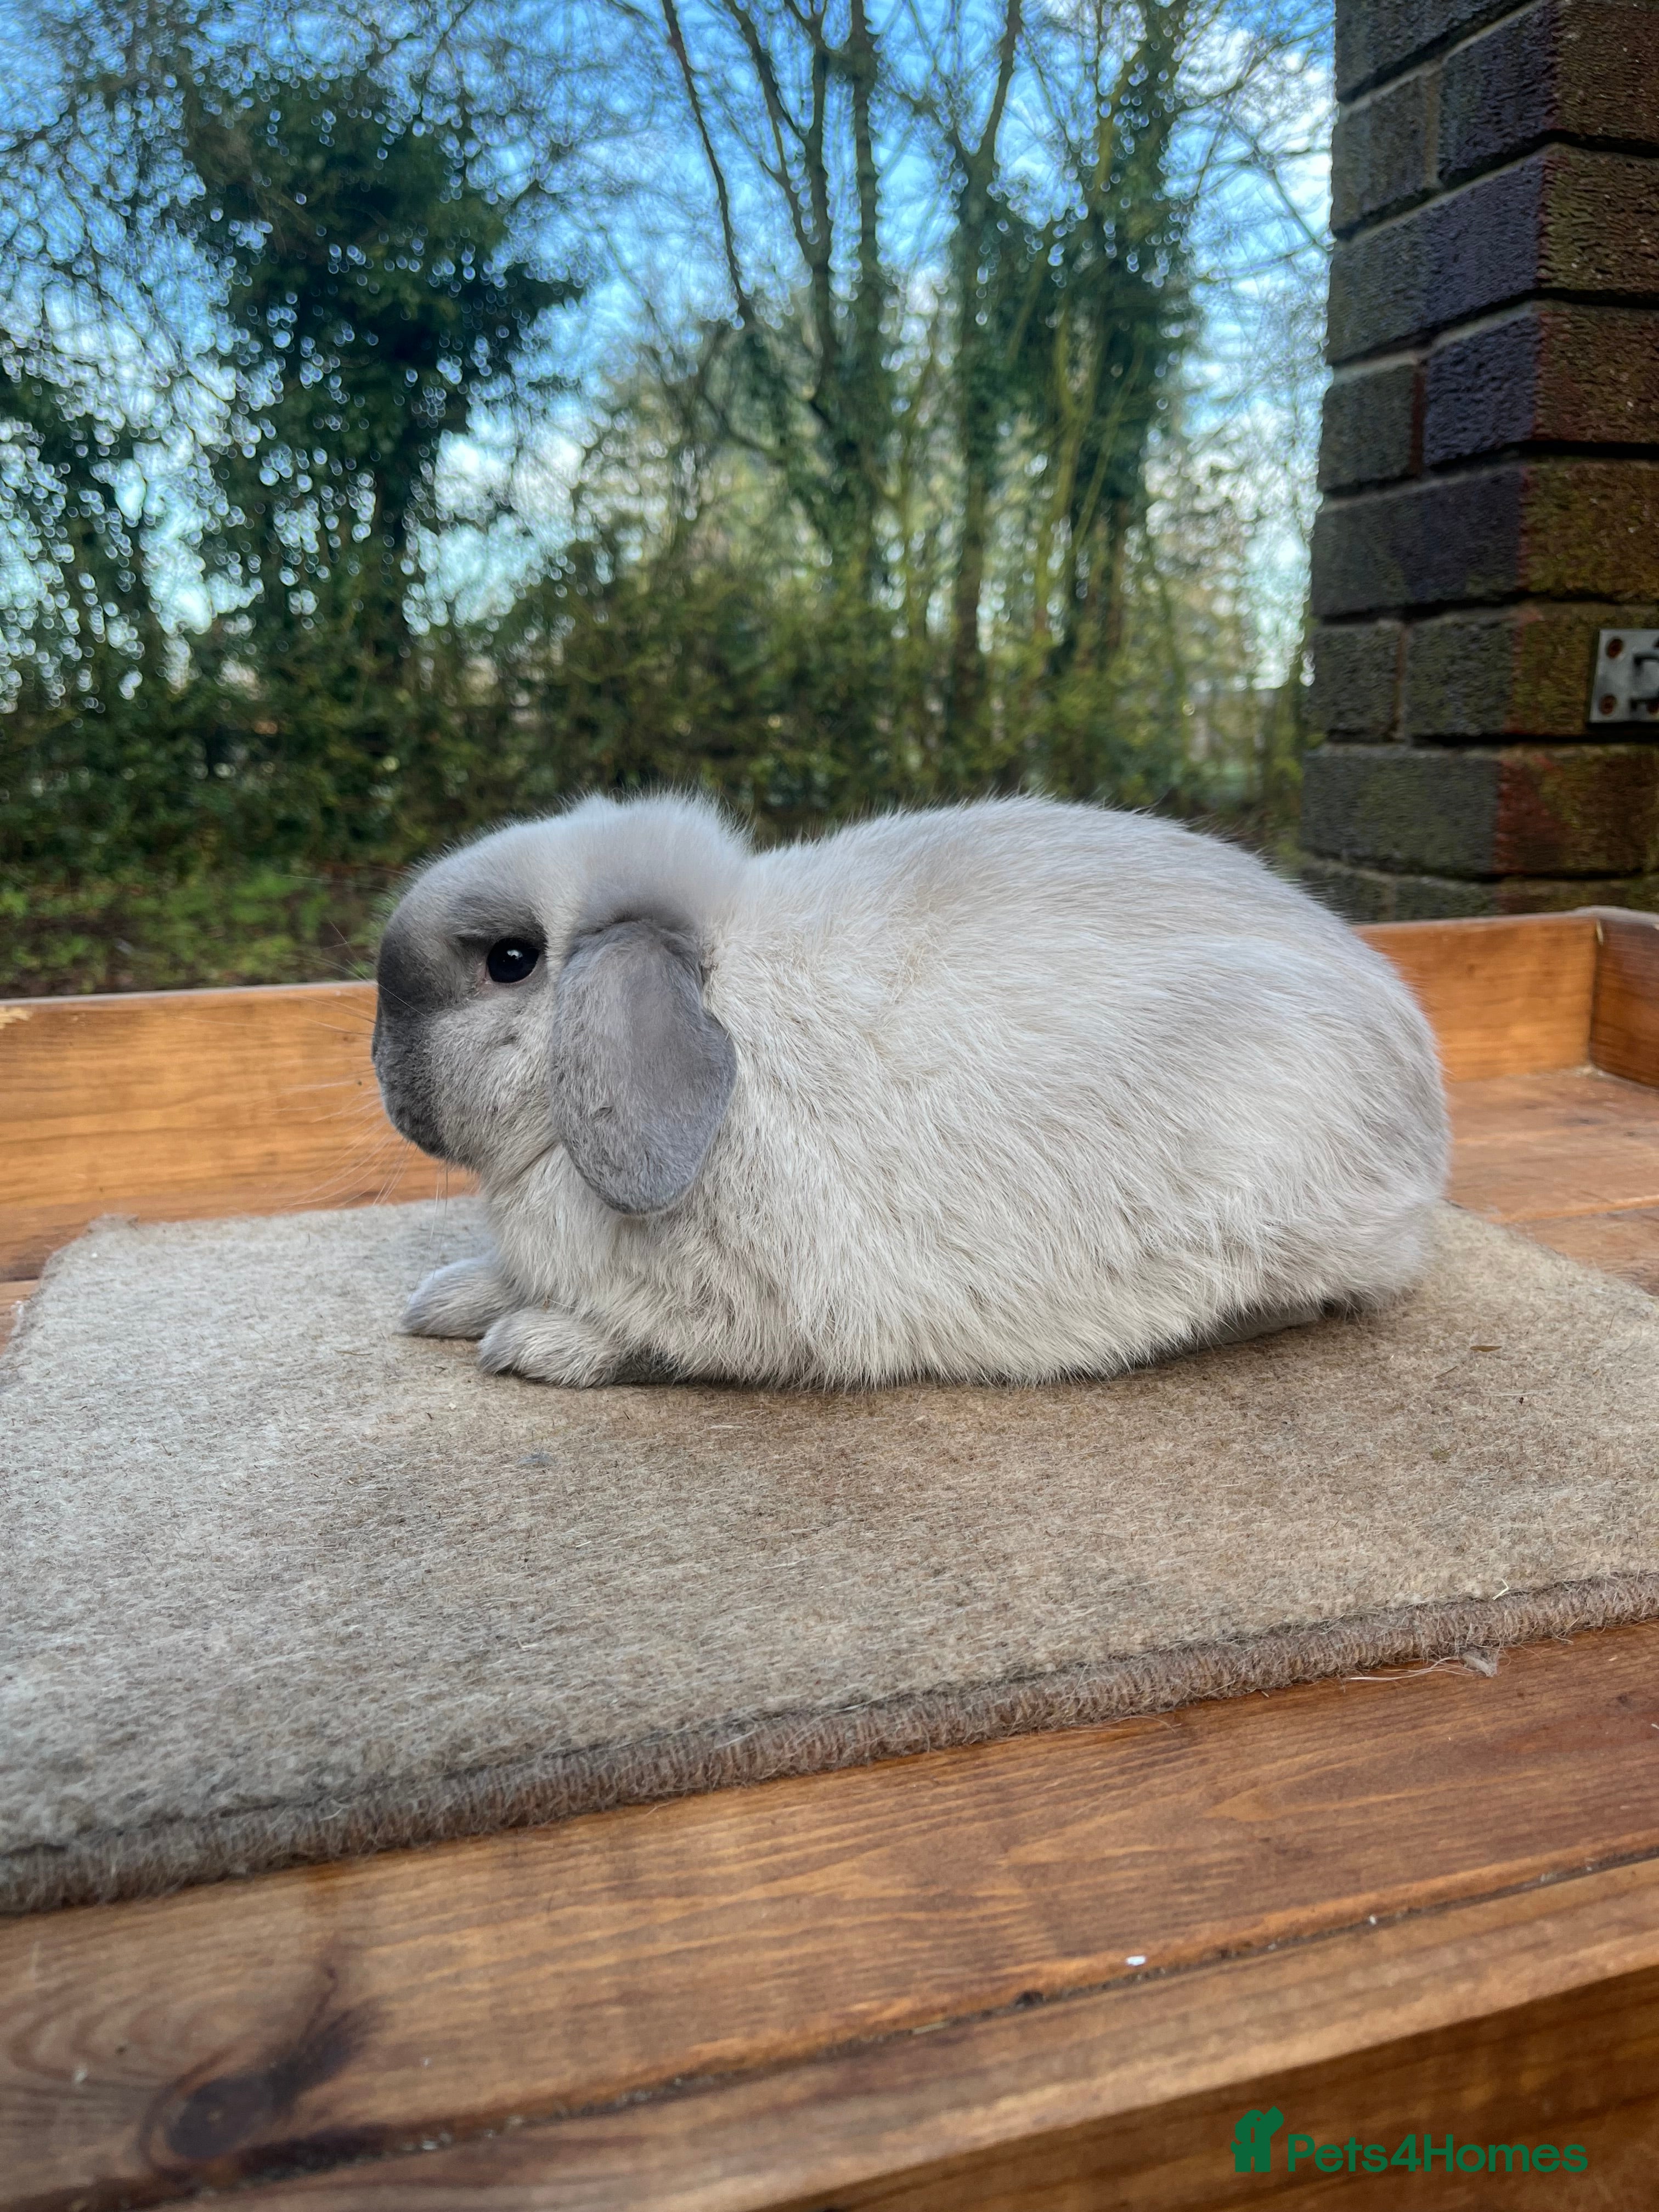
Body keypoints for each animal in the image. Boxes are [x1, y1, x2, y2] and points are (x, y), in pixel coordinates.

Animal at [372, 792, 1449, 1388]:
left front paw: (531, 1346)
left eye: (510, 962)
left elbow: (650, 1348)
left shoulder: (766, 1317)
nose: (380, 1066)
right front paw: (443, 1299)